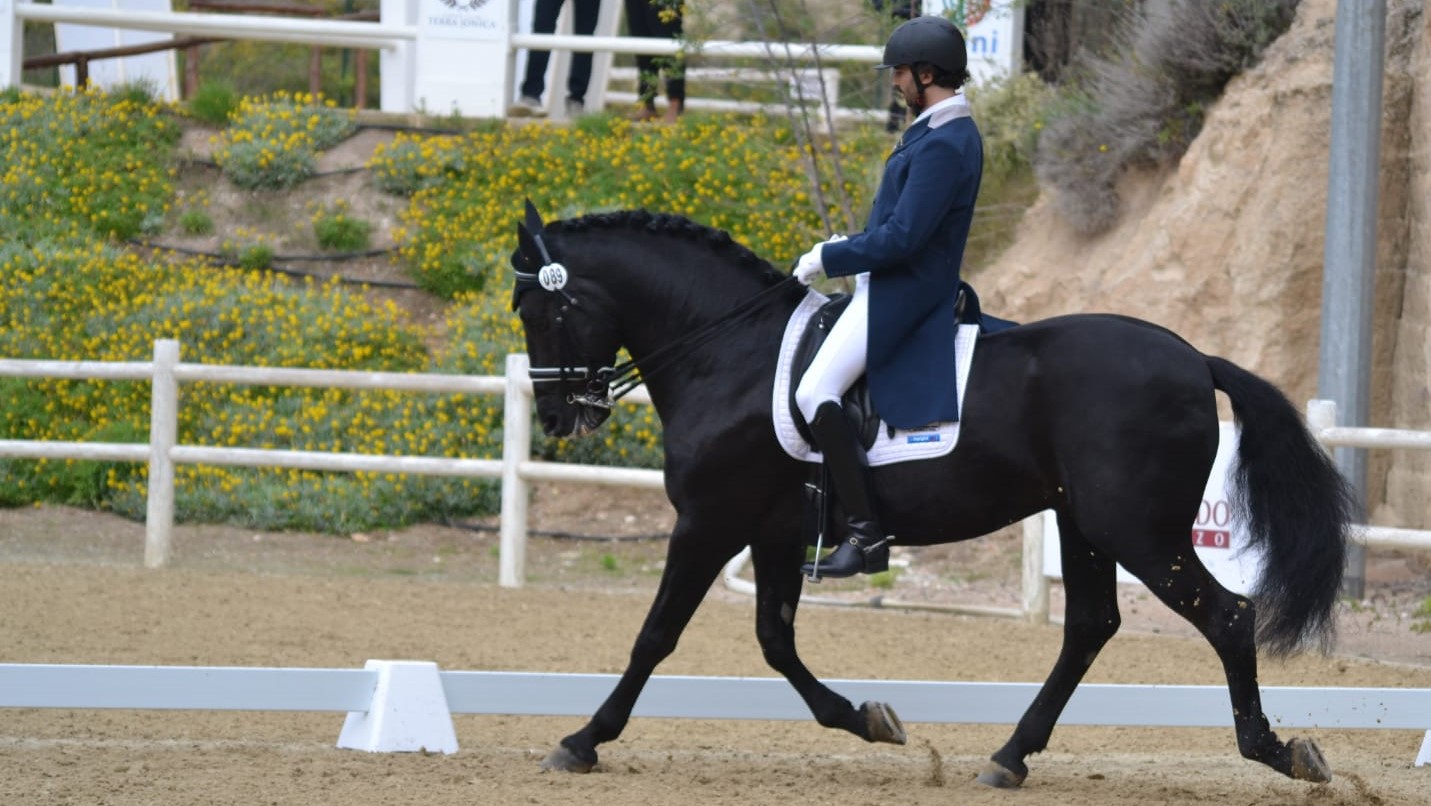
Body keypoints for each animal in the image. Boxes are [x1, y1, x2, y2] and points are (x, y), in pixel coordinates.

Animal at [507, 206, 1355, 787]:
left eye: (537, 309)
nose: (557, 416)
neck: (728, 353)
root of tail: (1193, 357)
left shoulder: (709, 522)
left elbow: (655, 636)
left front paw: (582, 740)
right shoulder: (774, 532)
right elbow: (775, 641)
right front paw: (867, 720)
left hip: (1136, 530)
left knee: (1227, 617)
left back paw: (1276, 751)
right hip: (1082, 522)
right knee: (1089, 626)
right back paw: (1010, 757)